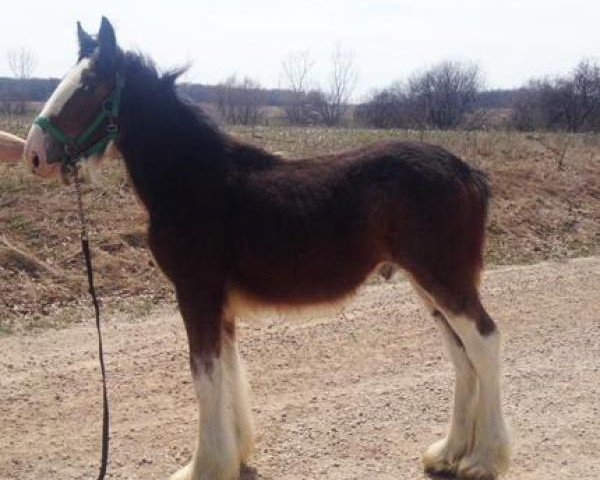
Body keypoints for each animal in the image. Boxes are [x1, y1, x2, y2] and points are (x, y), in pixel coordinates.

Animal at [24, 17, 510, 480]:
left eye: (90, 84)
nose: (34, 154)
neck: (193, 179)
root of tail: (468, 172)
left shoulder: (196, 293)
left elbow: (204, 373)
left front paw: (204, 467)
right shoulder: (218, 303)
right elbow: (228, 371)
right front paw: (234, 458)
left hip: (444, 279)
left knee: (484, 341)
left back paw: (483, 459)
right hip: (427, 284)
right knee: (461, 354)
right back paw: (448, 454)